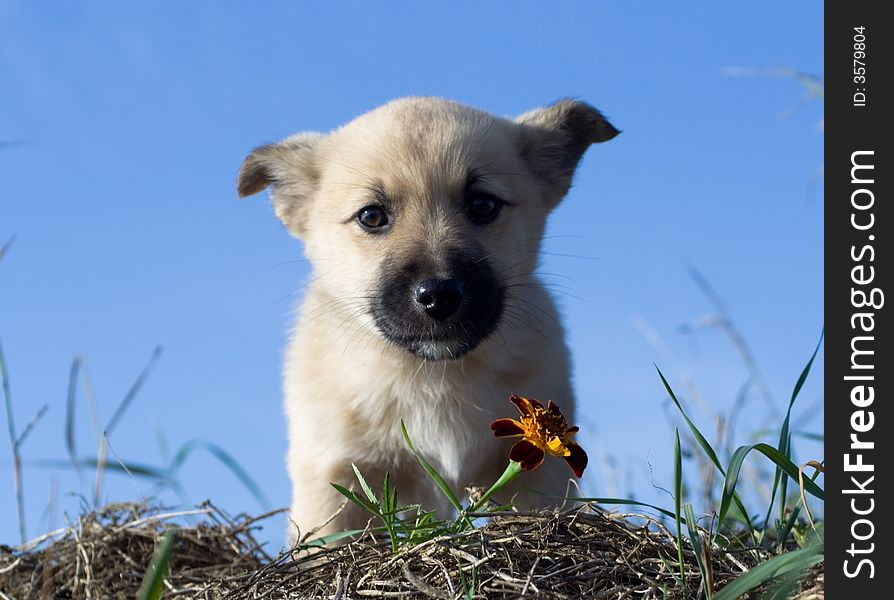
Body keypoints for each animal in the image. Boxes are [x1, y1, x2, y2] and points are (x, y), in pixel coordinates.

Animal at [236, 97, 616, 540]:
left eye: (483, 205)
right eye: (371, 216)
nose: (438, 295)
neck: (436, 376)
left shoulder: (536, 475)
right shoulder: (334, 474)